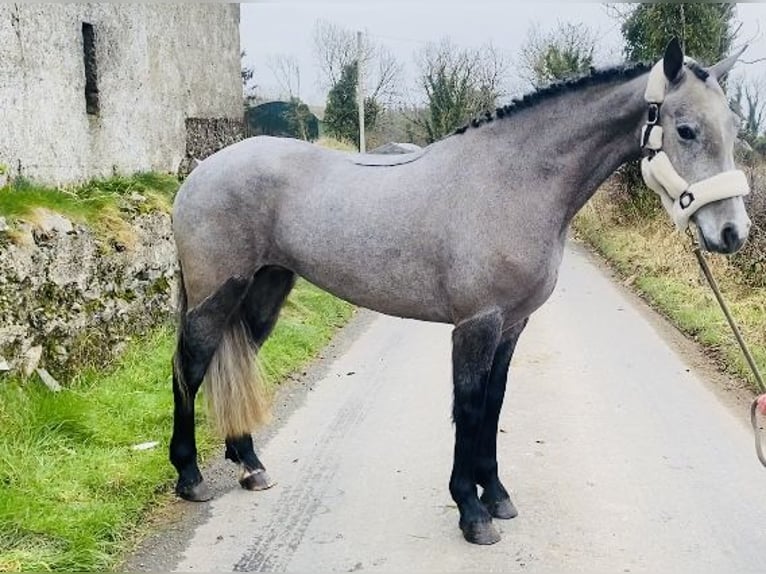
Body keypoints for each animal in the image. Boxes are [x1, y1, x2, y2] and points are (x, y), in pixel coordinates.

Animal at [171, 39, 752, 544]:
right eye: (686, 129)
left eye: (734, 128)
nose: (732, 233)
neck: (513, 181)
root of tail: (202, 172)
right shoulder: (477, 324)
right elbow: (469, 408)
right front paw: (472, 512)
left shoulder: (513, 325)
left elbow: (494, 405)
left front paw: (495, 494)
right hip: (216, 294)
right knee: (190, 366)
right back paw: (191, 477)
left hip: (266, 290)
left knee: (235, 356)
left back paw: (250, 465)